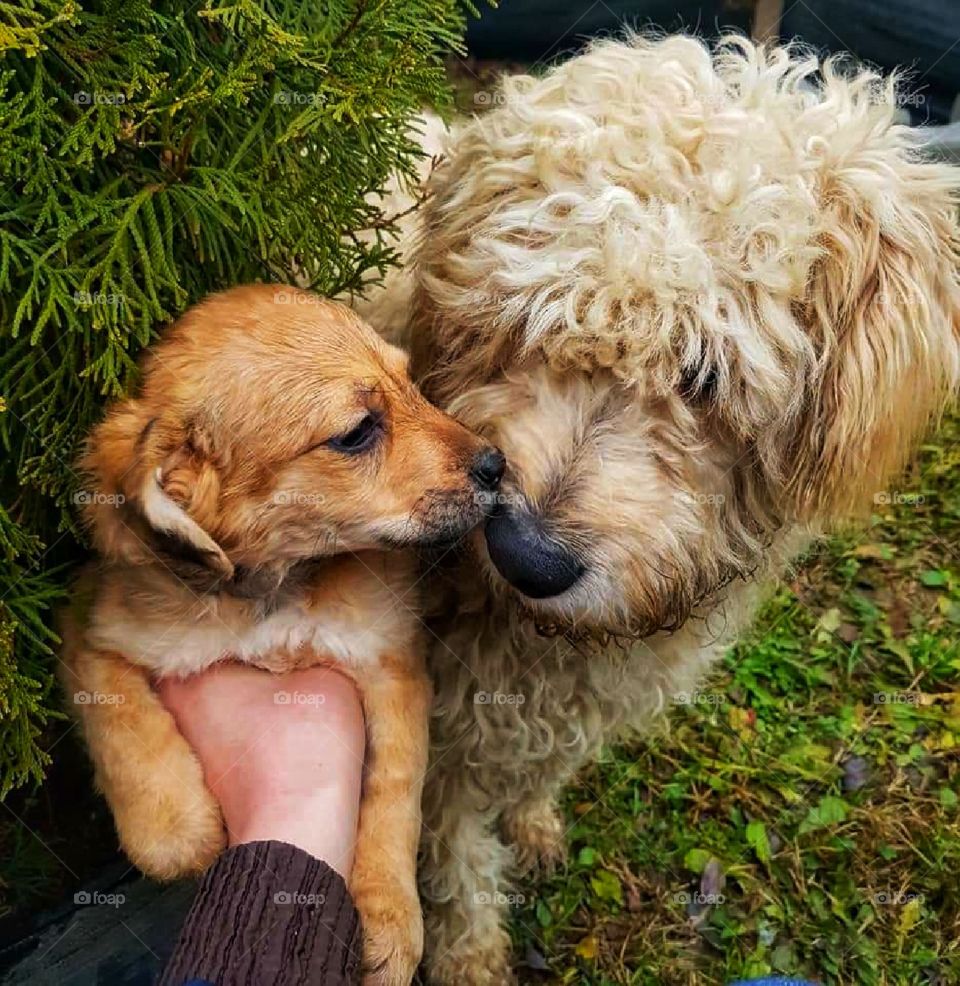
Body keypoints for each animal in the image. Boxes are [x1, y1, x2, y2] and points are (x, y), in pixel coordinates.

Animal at [60, 280, 506, 980]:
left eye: (411, 384)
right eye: (358, 432)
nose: (497, 465)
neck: (277, 594)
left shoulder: (392, 662)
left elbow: (393, 793)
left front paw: (390, 921)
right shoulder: (91, 630)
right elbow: (128, 741)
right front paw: (186, 829)